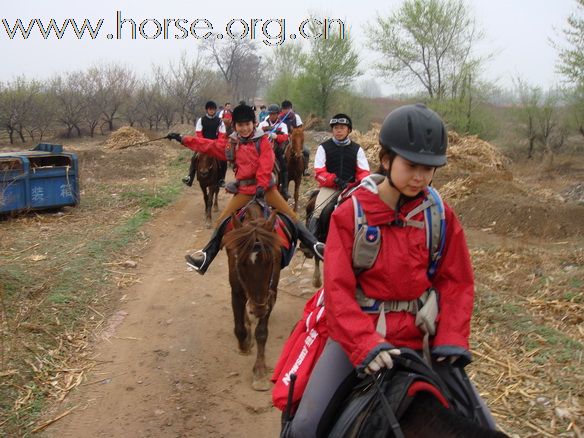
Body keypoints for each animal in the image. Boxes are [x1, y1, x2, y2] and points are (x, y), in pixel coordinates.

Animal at [221, 204, 282, 392]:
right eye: (240, 262)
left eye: (271, 261)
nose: (259, 309)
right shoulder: (236, 290)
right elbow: (239, 329)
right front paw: (245, 344)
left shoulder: (271, 293)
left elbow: (261, 333)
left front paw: (260, 372)